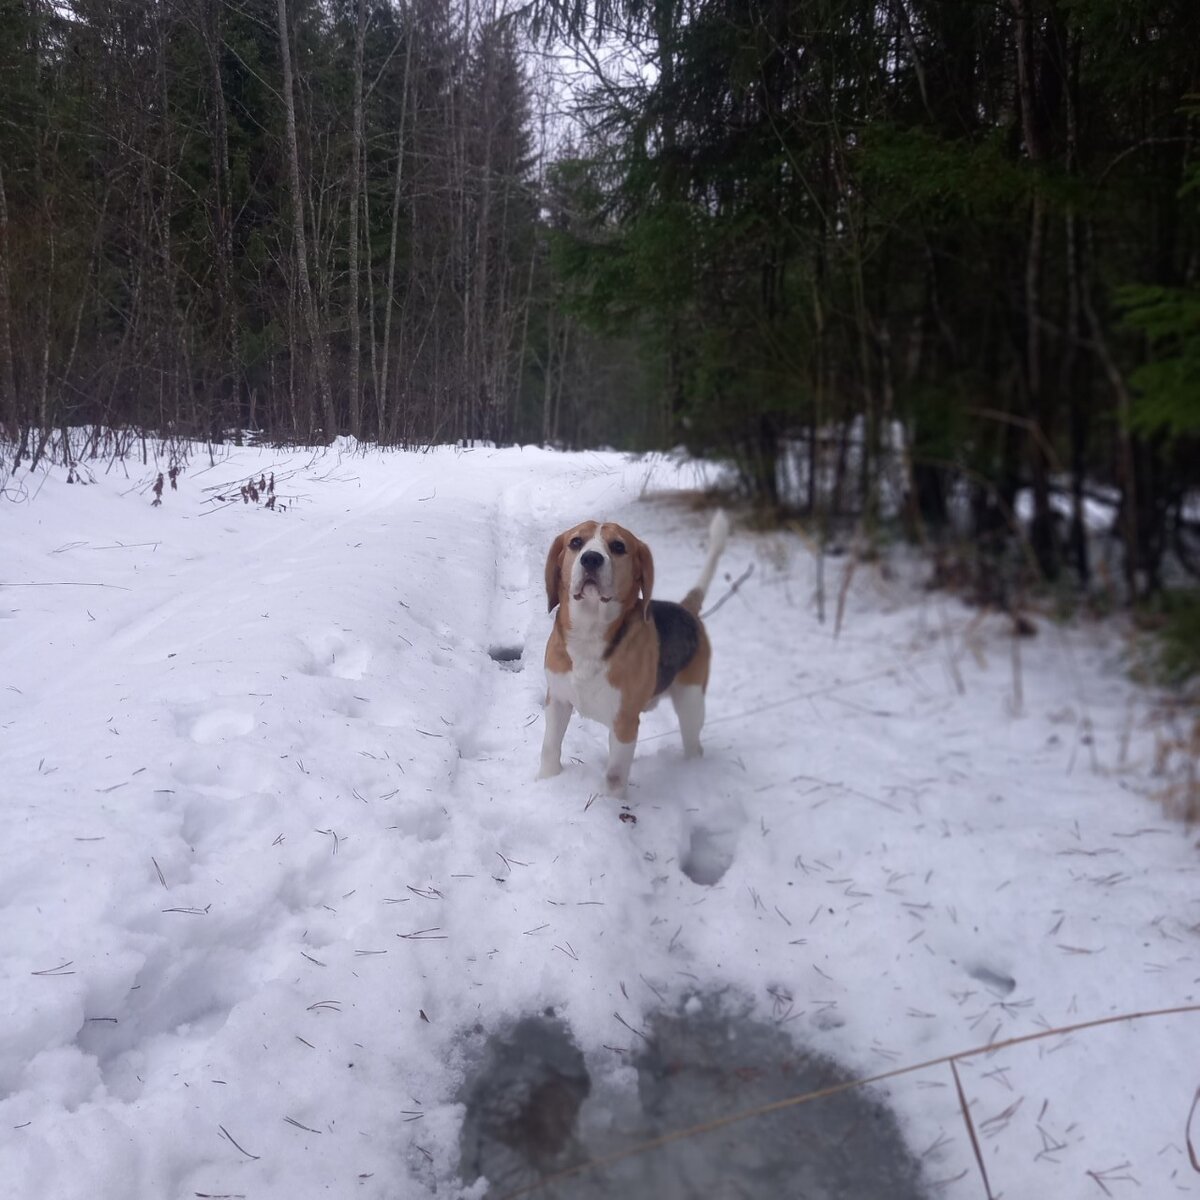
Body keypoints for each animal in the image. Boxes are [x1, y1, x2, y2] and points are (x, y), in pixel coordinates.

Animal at [537, 508, 724, 796]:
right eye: (576, 542)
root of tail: (687, 609)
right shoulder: (557, 700)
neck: (590, 632)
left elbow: (614, 776)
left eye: (618, 546)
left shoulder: (624, 722)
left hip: (691, 702)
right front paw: (547, 780)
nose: (591, 558)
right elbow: (549, 746)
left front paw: (611, 806)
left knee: (694, 743)